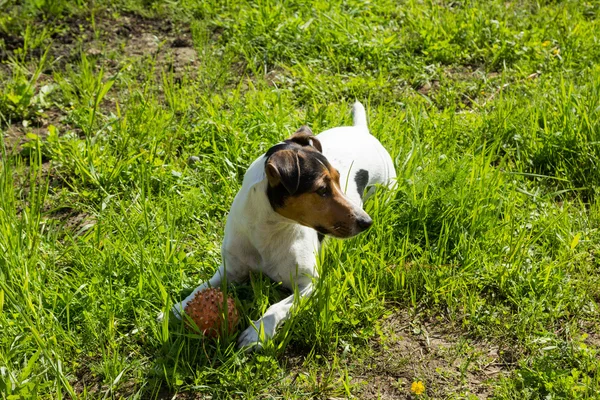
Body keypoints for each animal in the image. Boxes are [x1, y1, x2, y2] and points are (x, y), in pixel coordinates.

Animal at [170, 101, 394, 348]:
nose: (366, 222)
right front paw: (177, 308)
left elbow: (276, 308)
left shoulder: (309, 283)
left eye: (338, 179)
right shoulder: (231, 269)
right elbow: (203, 287)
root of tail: (360, 131)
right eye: (322, 189)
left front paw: (257, 332)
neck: (269, 230)